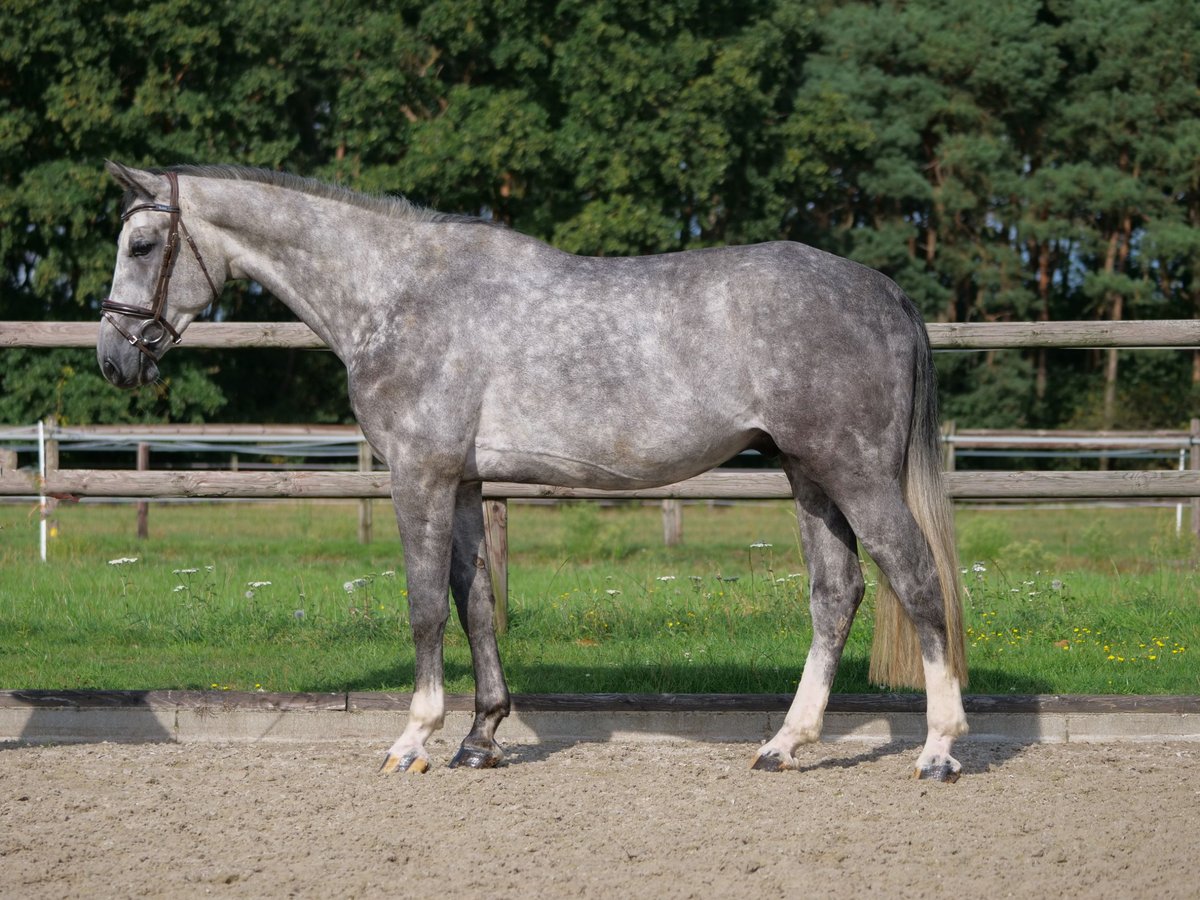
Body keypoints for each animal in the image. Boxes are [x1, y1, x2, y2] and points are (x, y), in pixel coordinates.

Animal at [98, 162, 969, 782]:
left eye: (141, 246)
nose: (112, 359)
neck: (397, 294)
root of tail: (882, 289)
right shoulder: (464, 483)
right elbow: (476, 603)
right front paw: (480, 738)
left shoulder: (418, 476)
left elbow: (424, 607)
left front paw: (413, 740)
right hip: (809, 476)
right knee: (837, 593)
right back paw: (785, 744)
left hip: (853, 473)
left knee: (917, 579)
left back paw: (939, 749)